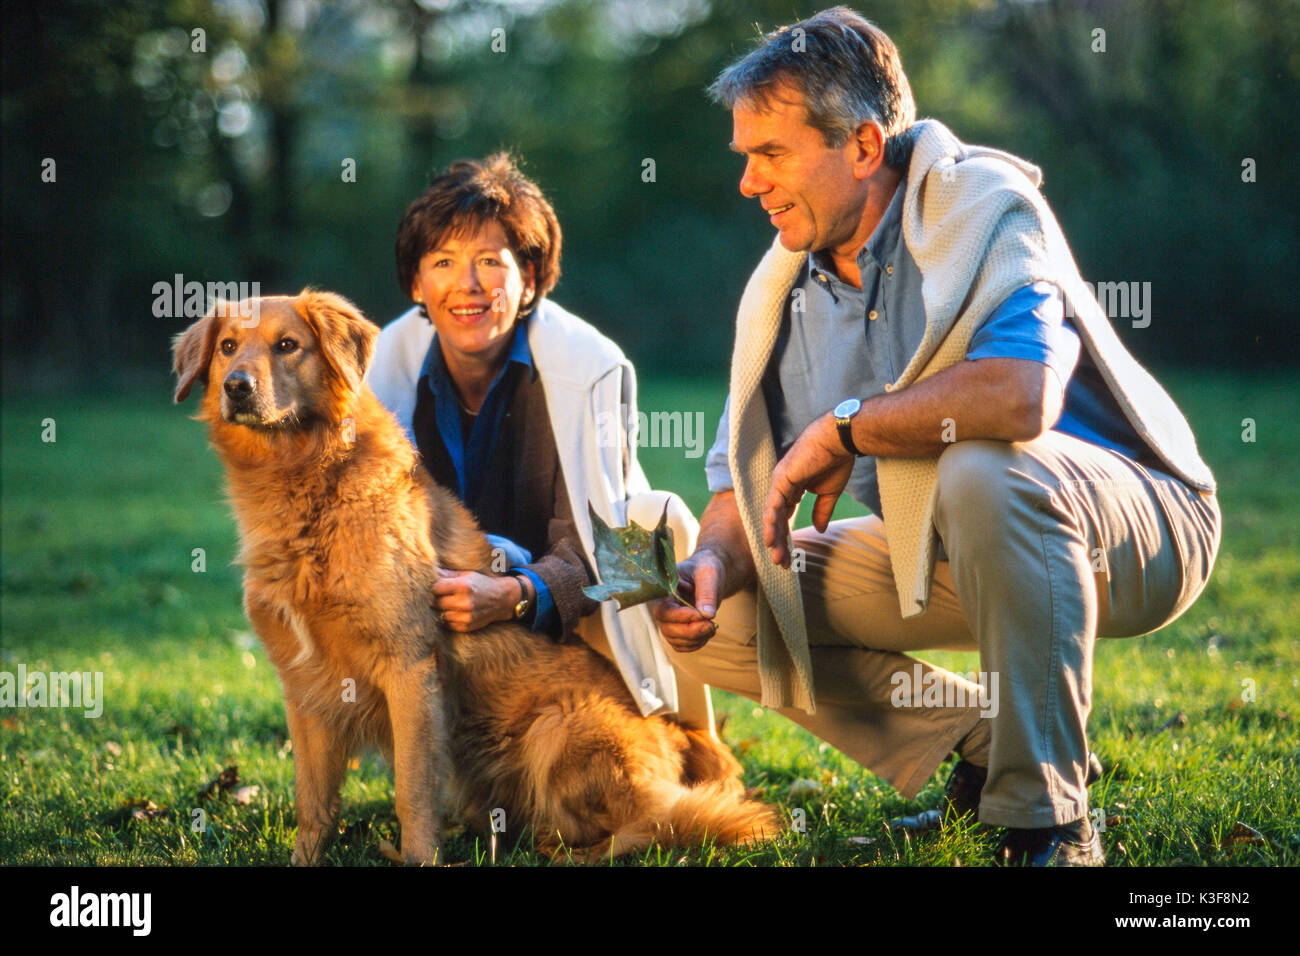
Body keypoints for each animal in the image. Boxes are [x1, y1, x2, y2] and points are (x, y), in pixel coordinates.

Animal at [174, 291, 780, 868]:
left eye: (287, 346)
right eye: (228, 347)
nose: (237, 387)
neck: (305, 486)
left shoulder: (409, 668)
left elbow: (413, 792)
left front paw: (419, 857)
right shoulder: (305, 686)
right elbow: (314, 802)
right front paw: (307, 858)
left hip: (558, 730)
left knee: (660, 823)